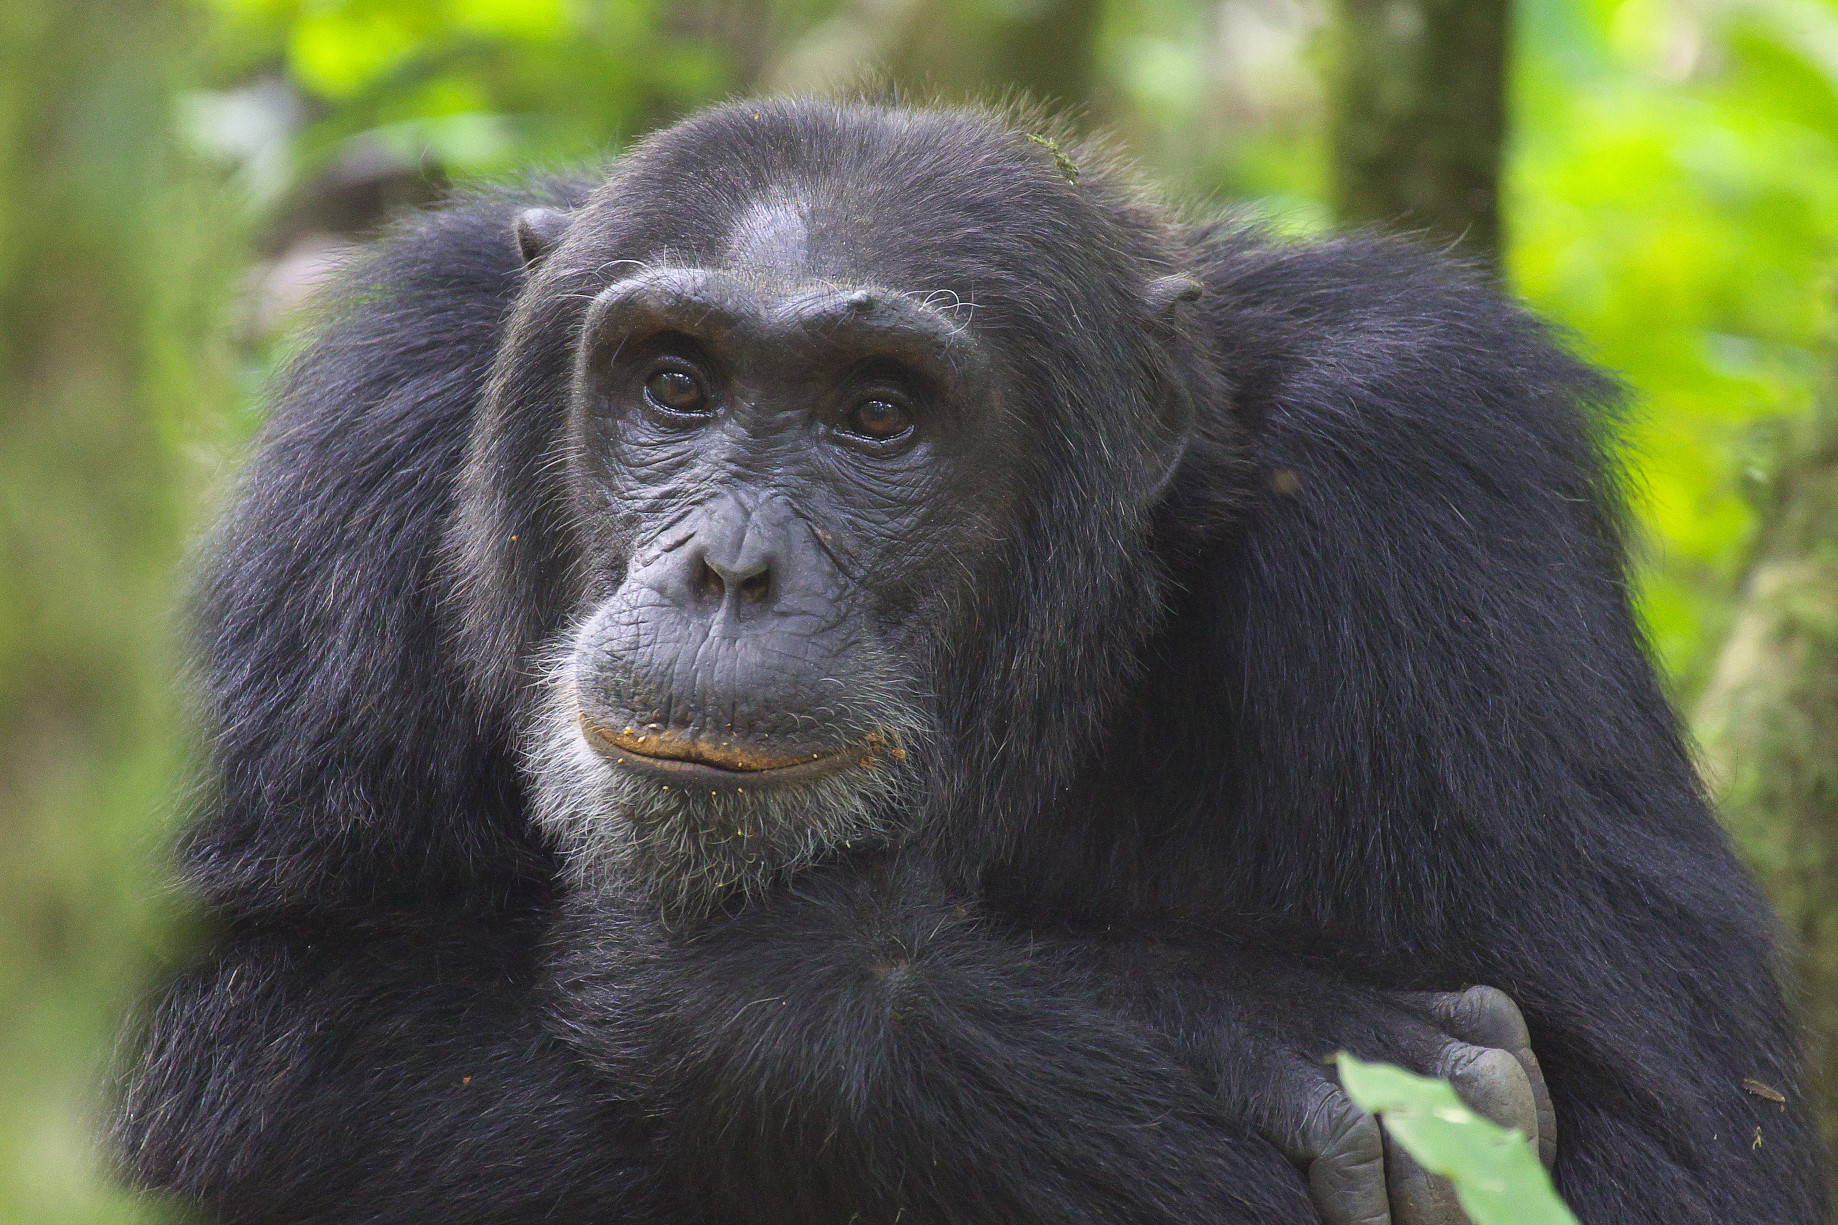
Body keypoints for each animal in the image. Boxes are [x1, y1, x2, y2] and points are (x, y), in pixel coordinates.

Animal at [111, 102, 1823, 1221]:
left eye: (879, 415)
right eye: (675, 384)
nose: (730, 568)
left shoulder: (1436, 468)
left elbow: (1672, 1150)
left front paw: (767, 985)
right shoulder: (385, 408)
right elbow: (210, 1022)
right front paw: (1276, 1044)